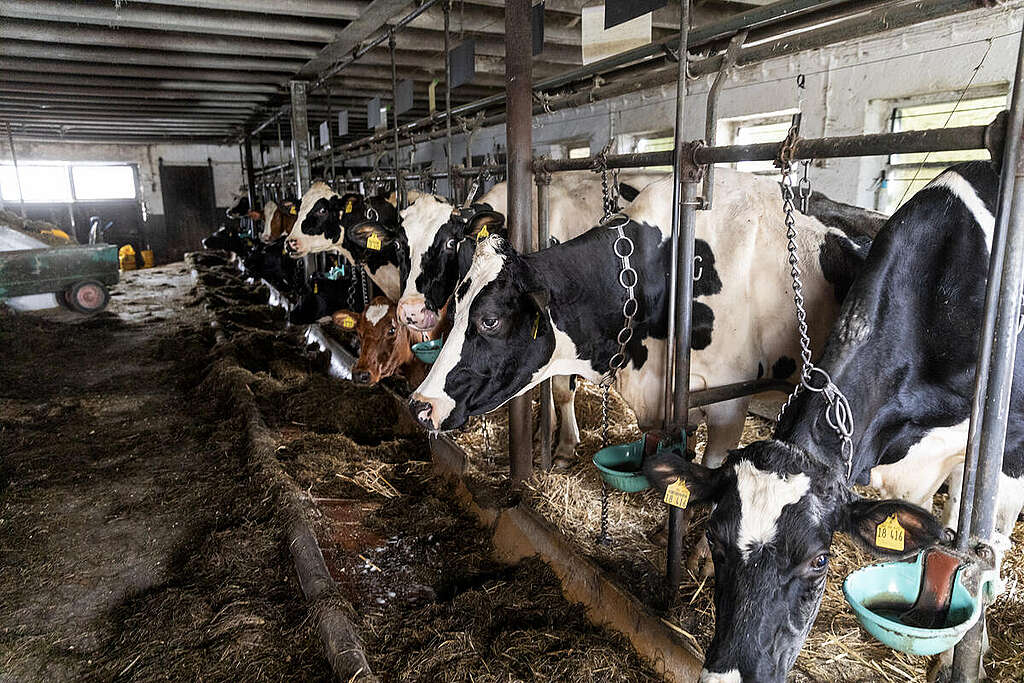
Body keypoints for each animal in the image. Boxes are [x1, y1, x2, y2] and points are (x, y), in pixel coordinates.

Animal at [638, 161, 1024, 683]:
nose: (727, 674)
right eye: (716, 541)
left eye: (819, 561)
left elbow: (984, 553)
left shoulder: (1008, 447)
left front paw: (955, 659)